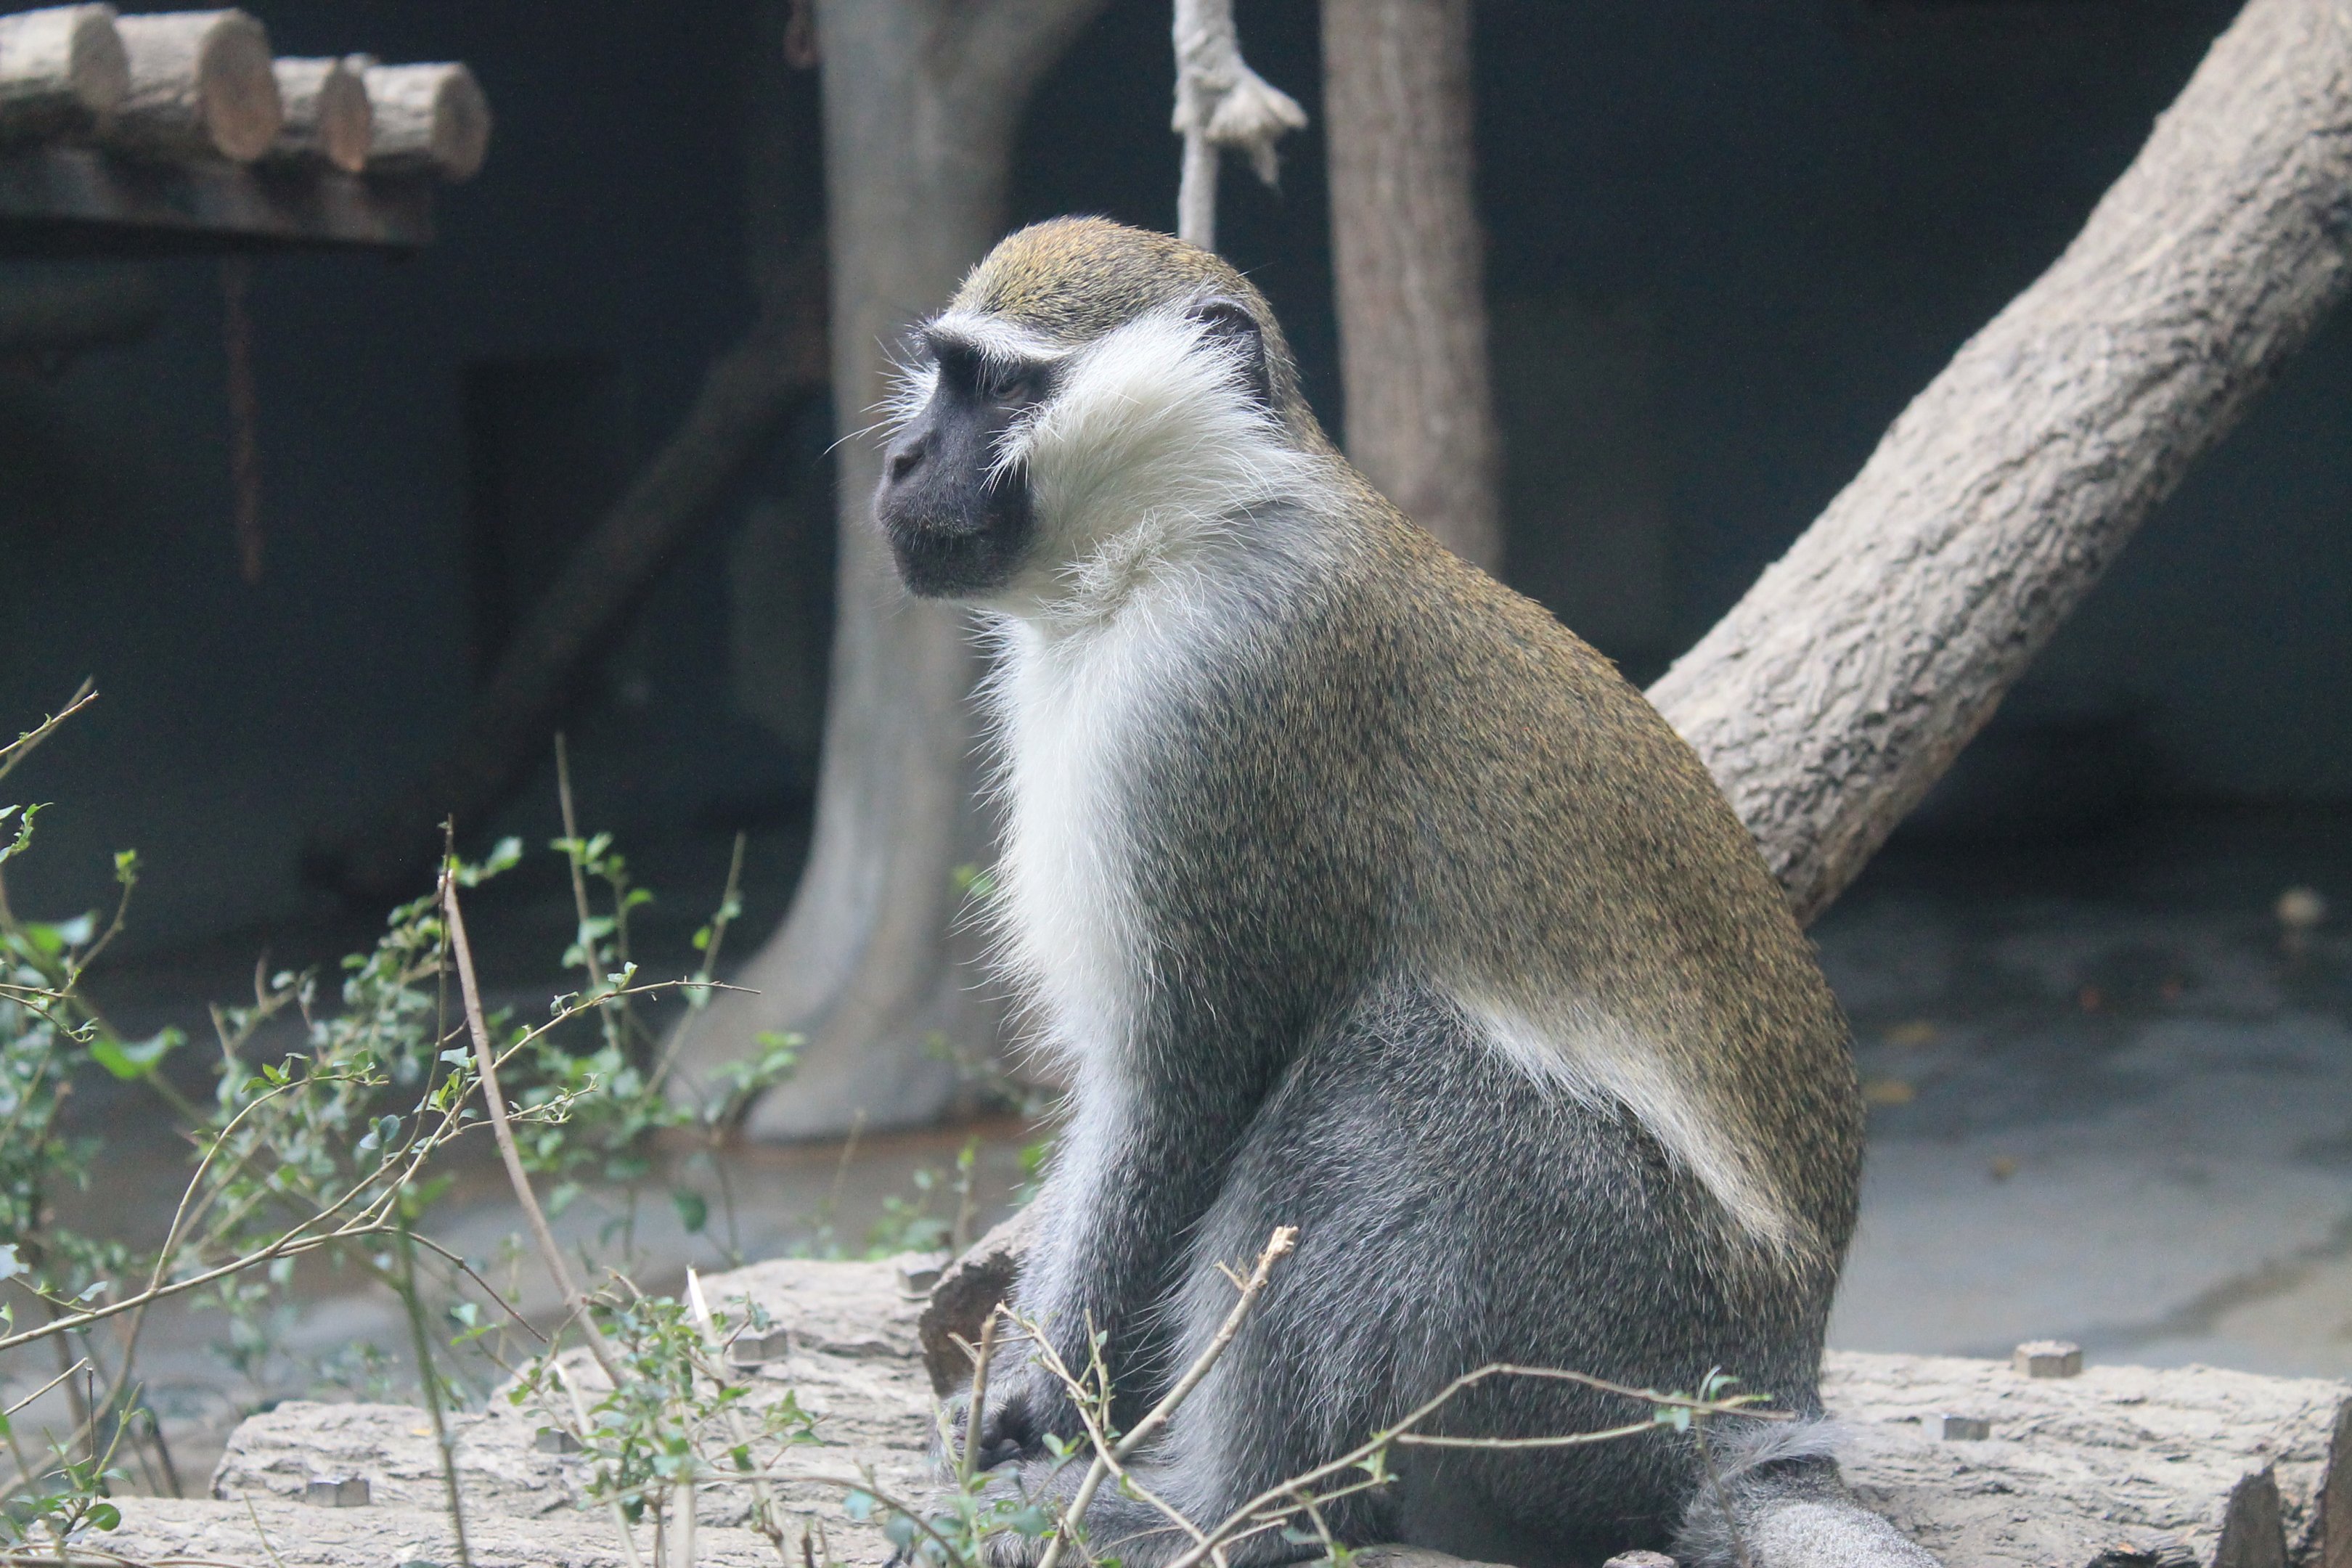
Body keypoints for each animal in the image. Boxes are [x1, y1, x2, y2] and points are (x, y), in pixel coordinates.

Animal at [871, 216, 1934, 1568]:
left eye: (1003, 390)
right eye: (943, 377)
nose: (902, 459)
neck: (1185, 532)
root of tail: (1761, 1404)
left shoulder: (1220, 691)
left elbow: (1183, 1082)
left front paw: (1039, 1403)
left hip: (1603, 1335)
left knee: (1391, 1067)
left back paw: (1237, 1511)